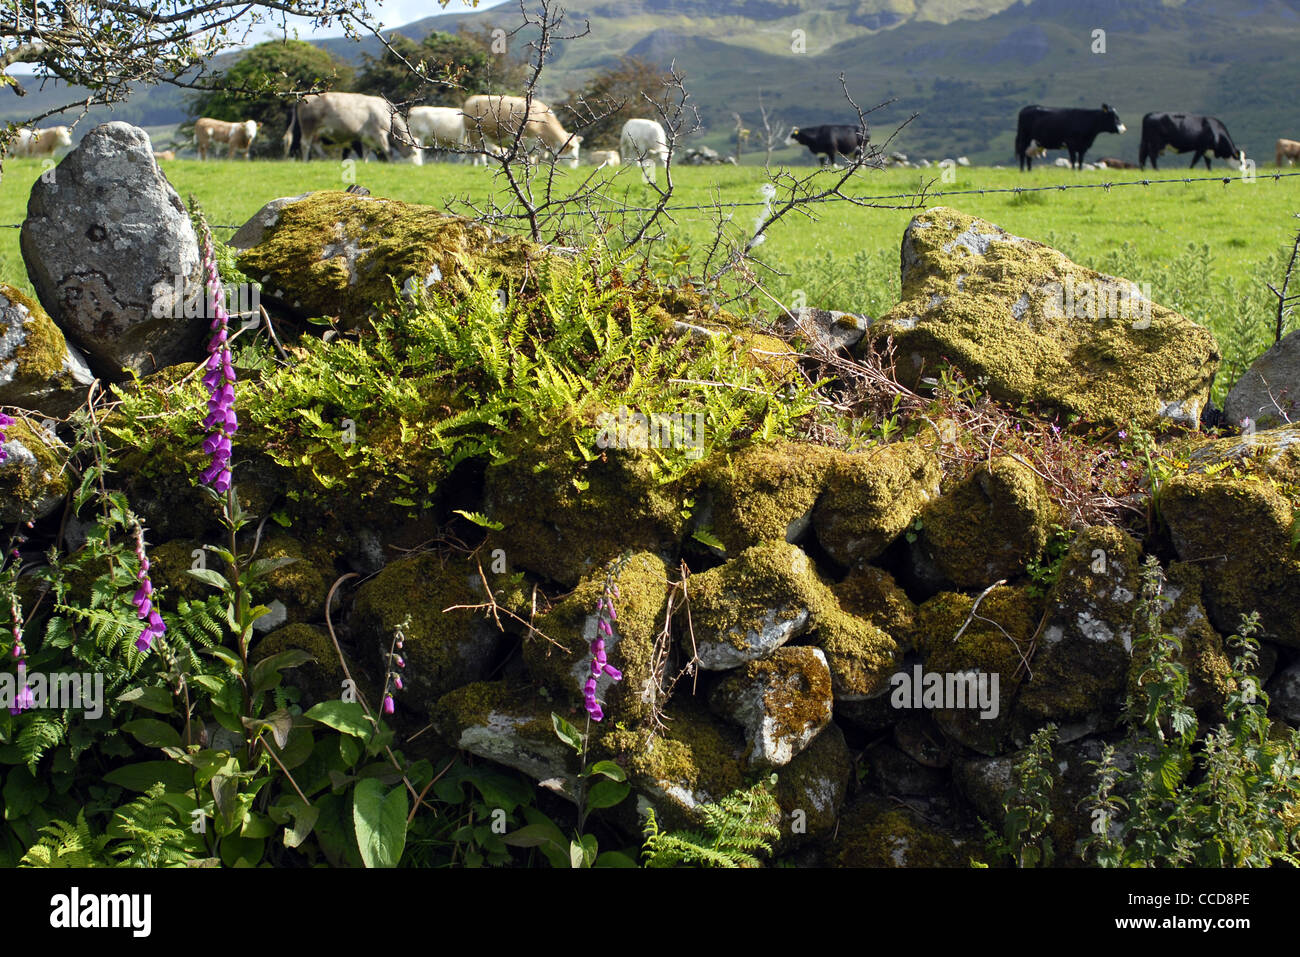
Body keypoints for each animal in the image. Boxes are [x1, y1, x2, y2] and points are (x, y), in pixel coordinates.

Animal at [289, 91, 421, 164]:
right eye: (414, 153)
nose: (417, 166)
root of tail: (304, 97)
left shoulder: (366, 137)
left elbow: (366, 152)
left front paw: (365, 163)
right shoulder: (379, 133)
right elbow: (388, 151)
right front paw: (392, 163)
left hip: (317, 130)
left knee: (315, 144)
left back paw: (324, 158)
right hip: (308, 126)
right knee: (305, 144)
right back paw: (305, 161)